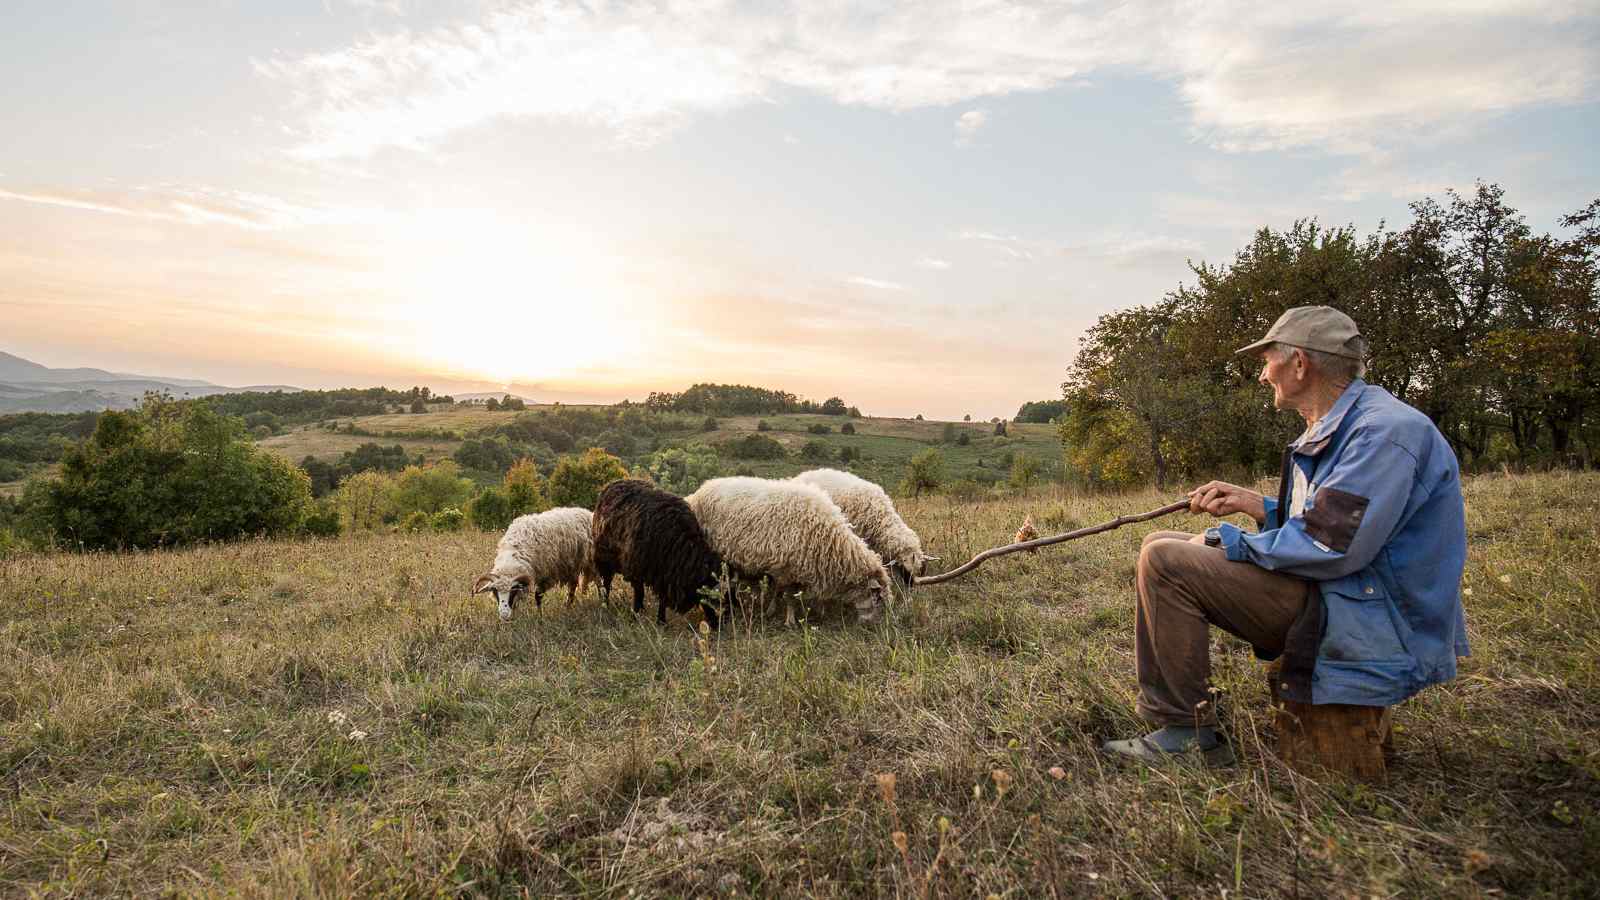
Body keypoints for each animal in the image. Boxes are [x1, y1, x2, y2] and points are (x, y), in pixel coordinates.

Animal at [595, 477, 732, 630]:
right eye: (708, 595)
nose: (718, 625)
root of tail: (615, 482)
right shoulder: (637, 569)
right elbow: (639, 593)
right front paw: (635, 616)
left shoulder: (664, 573)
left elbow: (662, 599)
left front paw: (660, 621)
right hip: (604, 558)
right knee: (606, 584)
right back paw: (605, 605)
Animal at [684, 474, 896, 621]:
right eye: (878, 599)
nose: (875, 625)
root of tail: (700, 491)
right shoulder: (784, 569)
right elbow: (788, 597)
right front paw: (789, 620)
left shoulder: (787, 568)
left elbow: (783, 593)